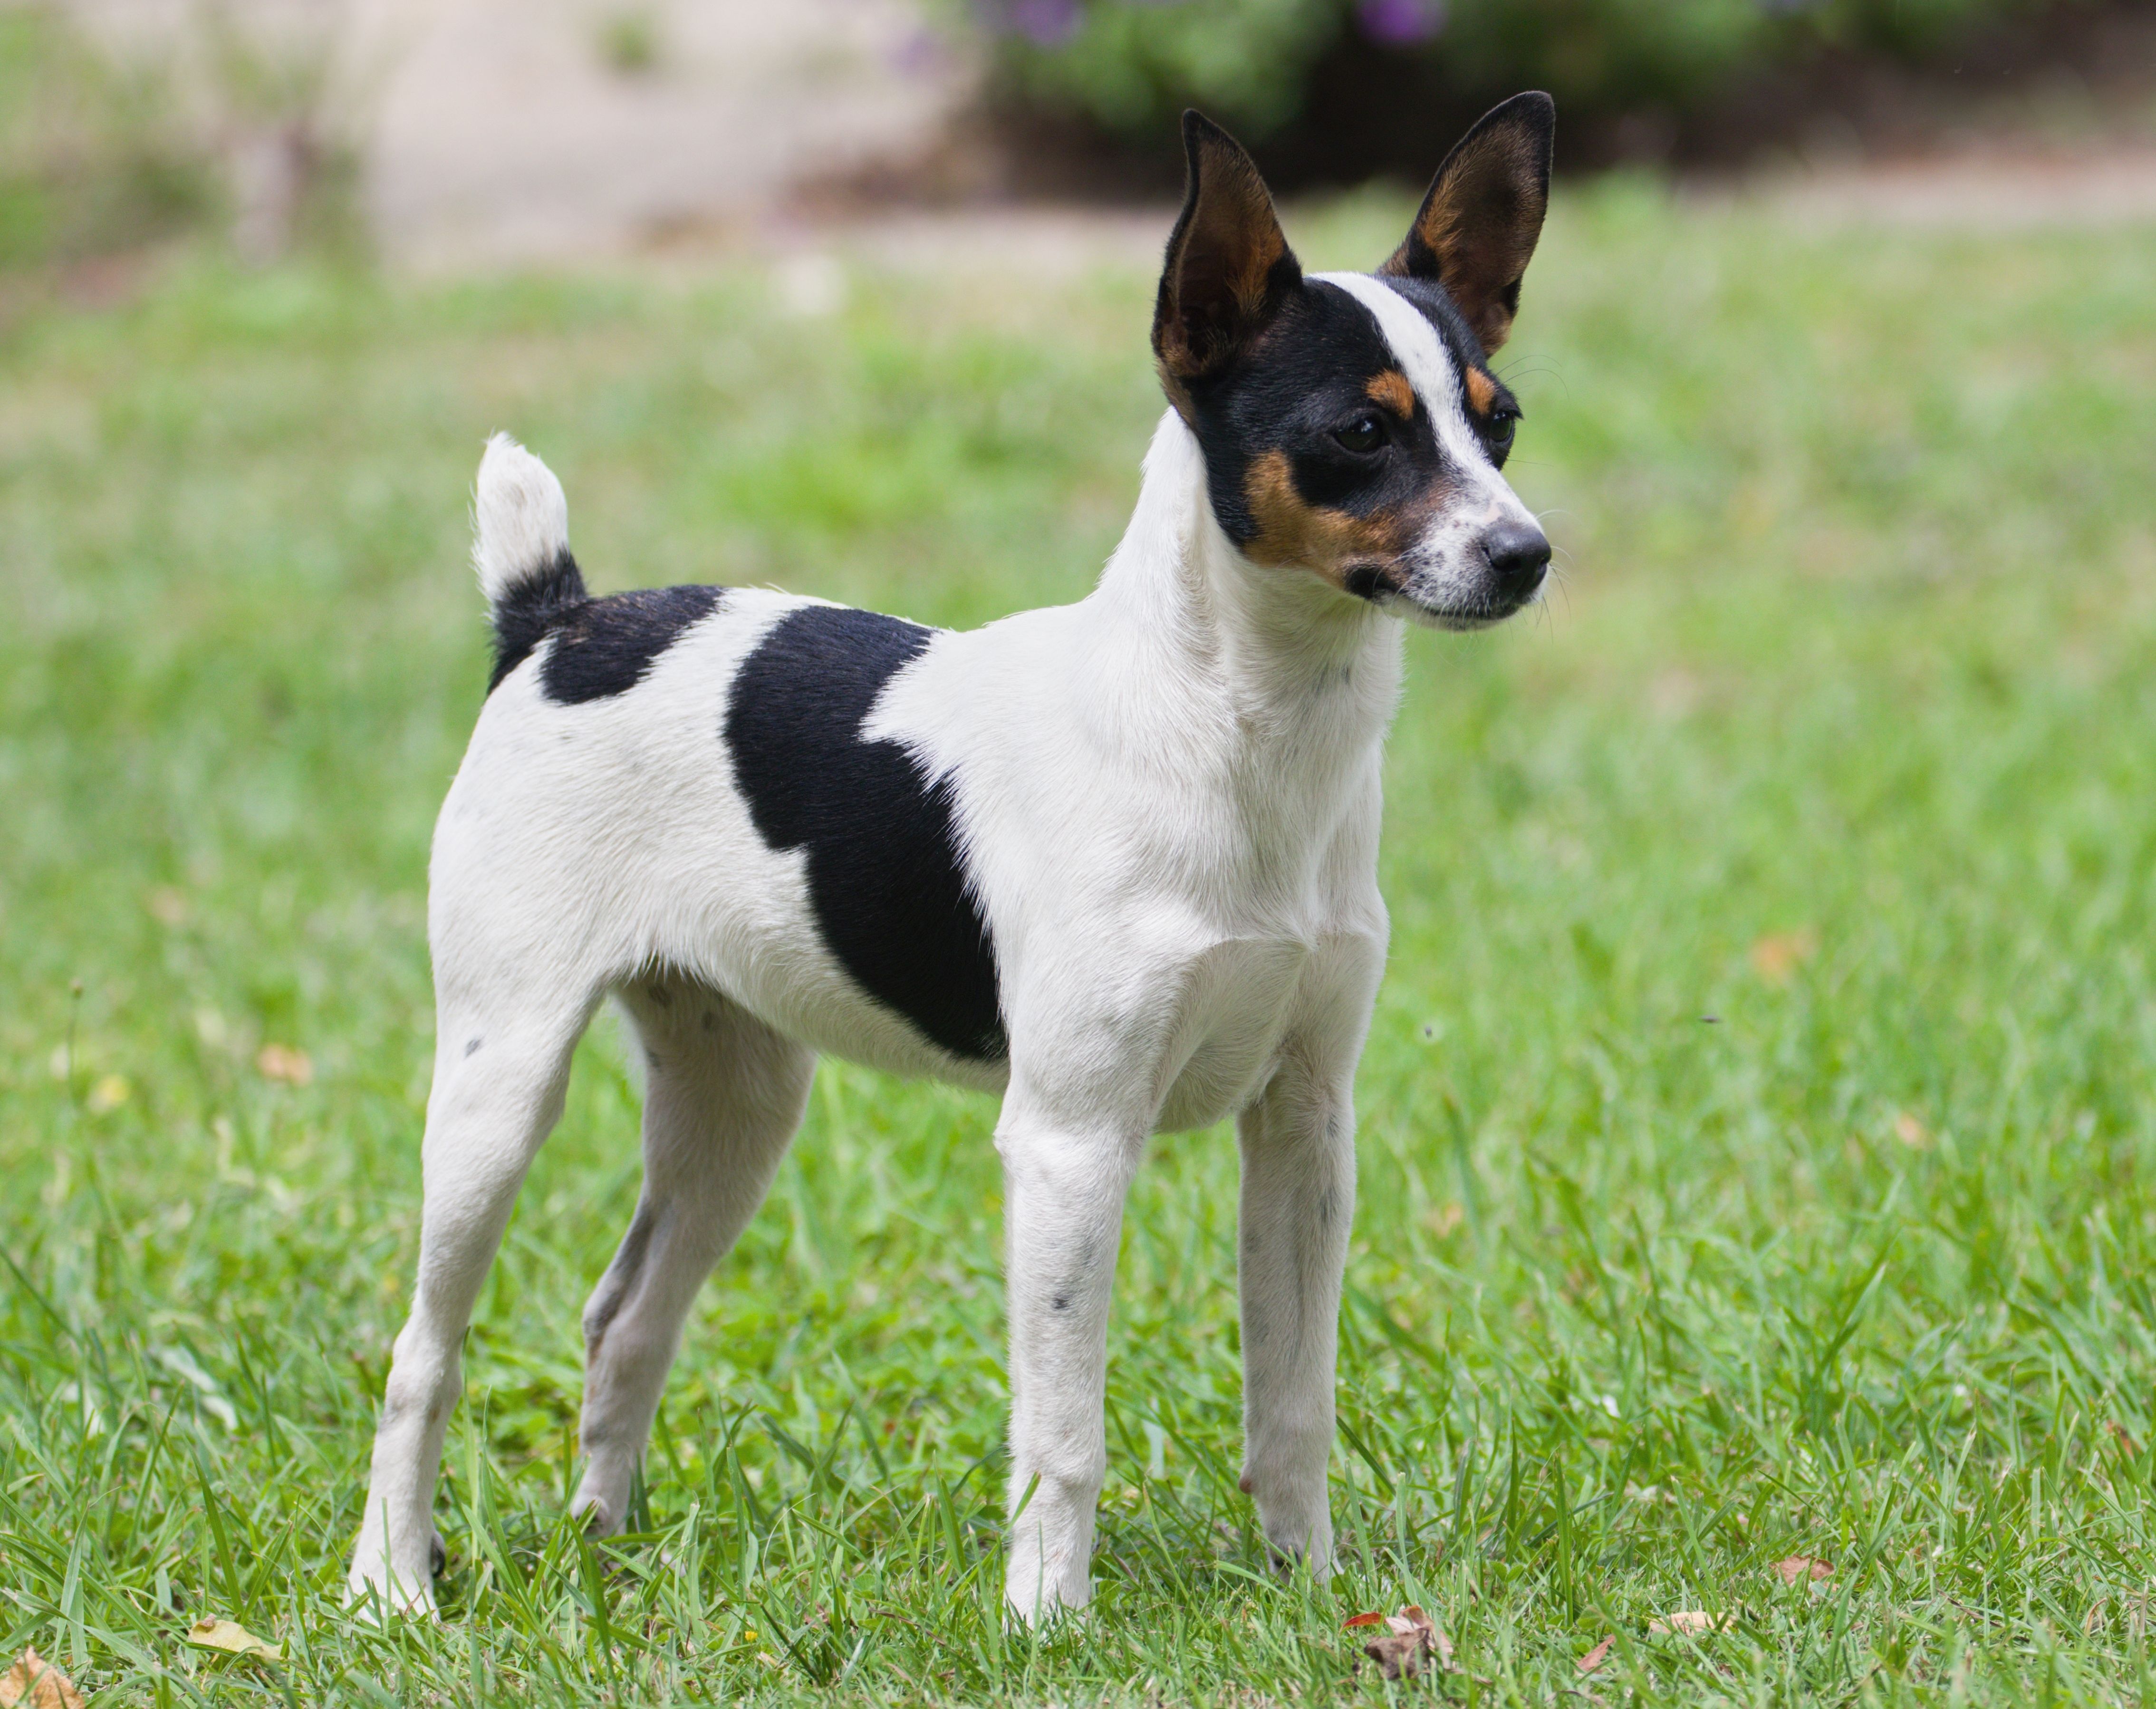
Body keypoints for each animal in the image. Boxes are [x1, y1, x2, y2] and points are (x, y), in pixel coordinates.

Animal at [357, 90, 1569, 1612]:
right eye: (1362, 431)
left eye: (1500, 422)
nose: (1526, 554)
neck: (1236, 736)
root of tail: (556, 620)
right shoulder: (1069, 1144)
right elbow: (1064, 1429)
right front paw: (1047, 1616)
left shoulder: (1304, 1131)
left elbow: (1294, 1397)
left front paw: (1307, 1588)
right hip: (499, 1083)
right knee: (422, 1353)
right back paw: (393, 1580)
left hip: (739, 1104)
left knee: (625, 1314)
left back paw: (608, 1543)